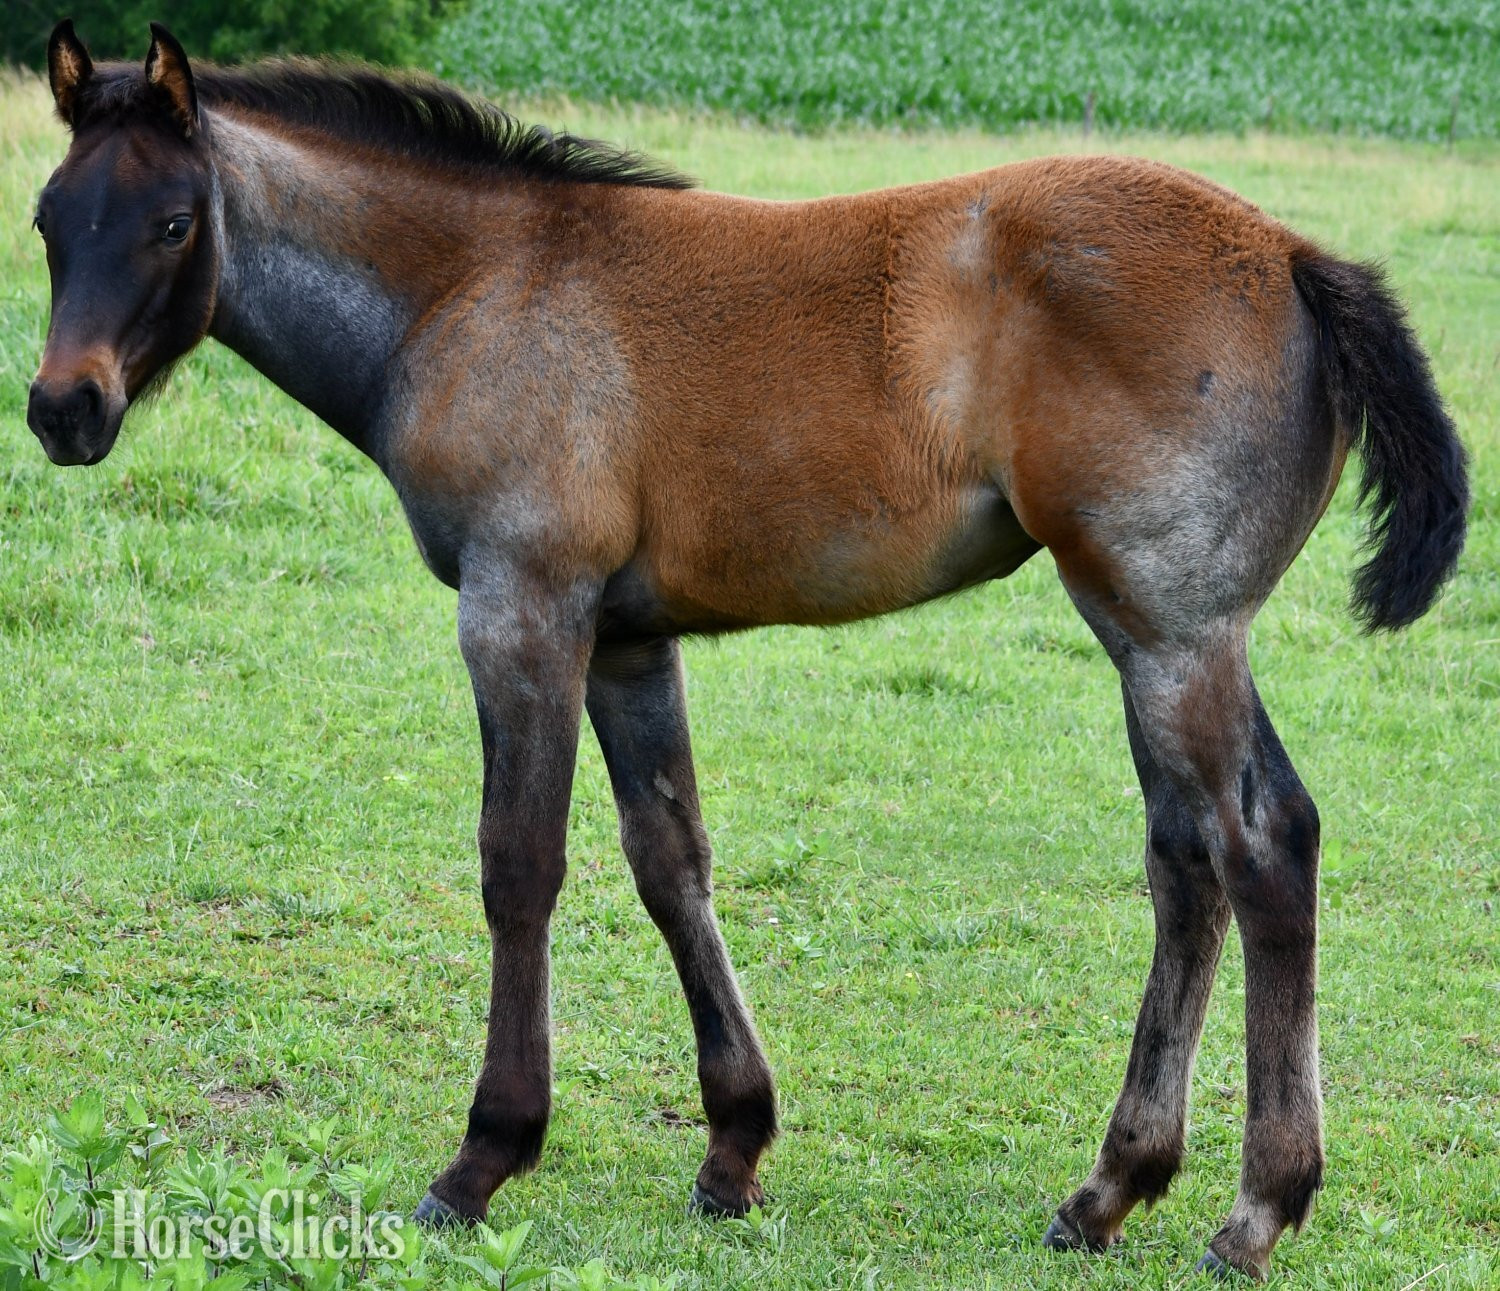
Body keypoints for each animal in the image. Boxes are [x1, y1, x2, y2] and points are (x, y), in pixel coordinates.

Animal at [27, 20, 1467, 1280]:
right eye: (47, 222)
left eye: (171, 223)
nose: (62, 411)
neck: (468, 288)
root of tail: (1294, 254)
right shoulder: (627, 639)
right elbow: (671, 859)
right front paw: (733, 1148)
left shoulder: (522, 607)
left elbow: (519, 865)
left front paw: (484, 1156)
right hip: (1146, 627)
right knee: (1197, 859)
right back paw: (1110, 1188)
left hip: (1173, 629)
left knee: (1258, 846)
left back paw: (1255, 1210)